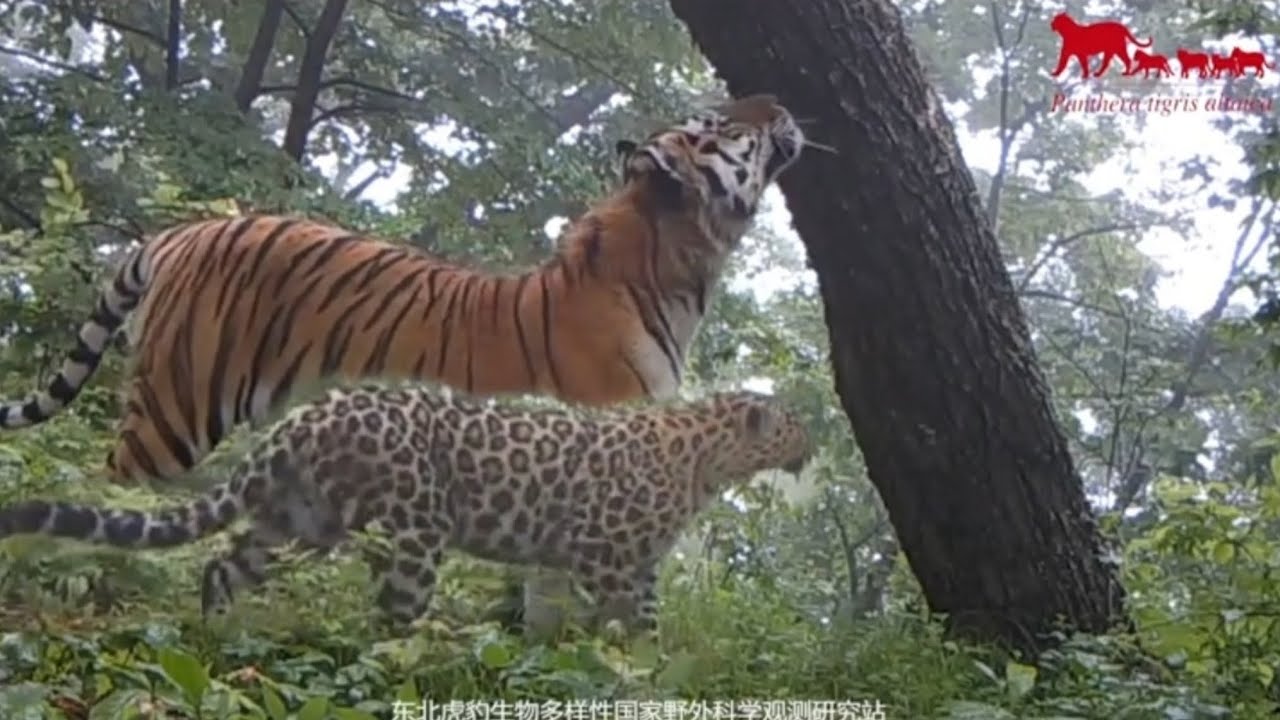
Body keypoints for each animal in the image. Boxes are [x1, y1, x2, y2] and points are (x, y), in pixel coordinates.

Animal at [0, 382, 813, 633]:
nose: (813, 444)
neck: (709, 460)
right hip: (415, 529)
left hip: (300, 520)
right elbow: (614, 626)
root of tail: (306, 415)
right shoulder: (604, 557)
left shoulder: (626, 564)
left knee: (223, 567)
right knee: (394, 619)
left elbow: (633, 626)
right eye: (793, 423)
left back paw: (221, 637)